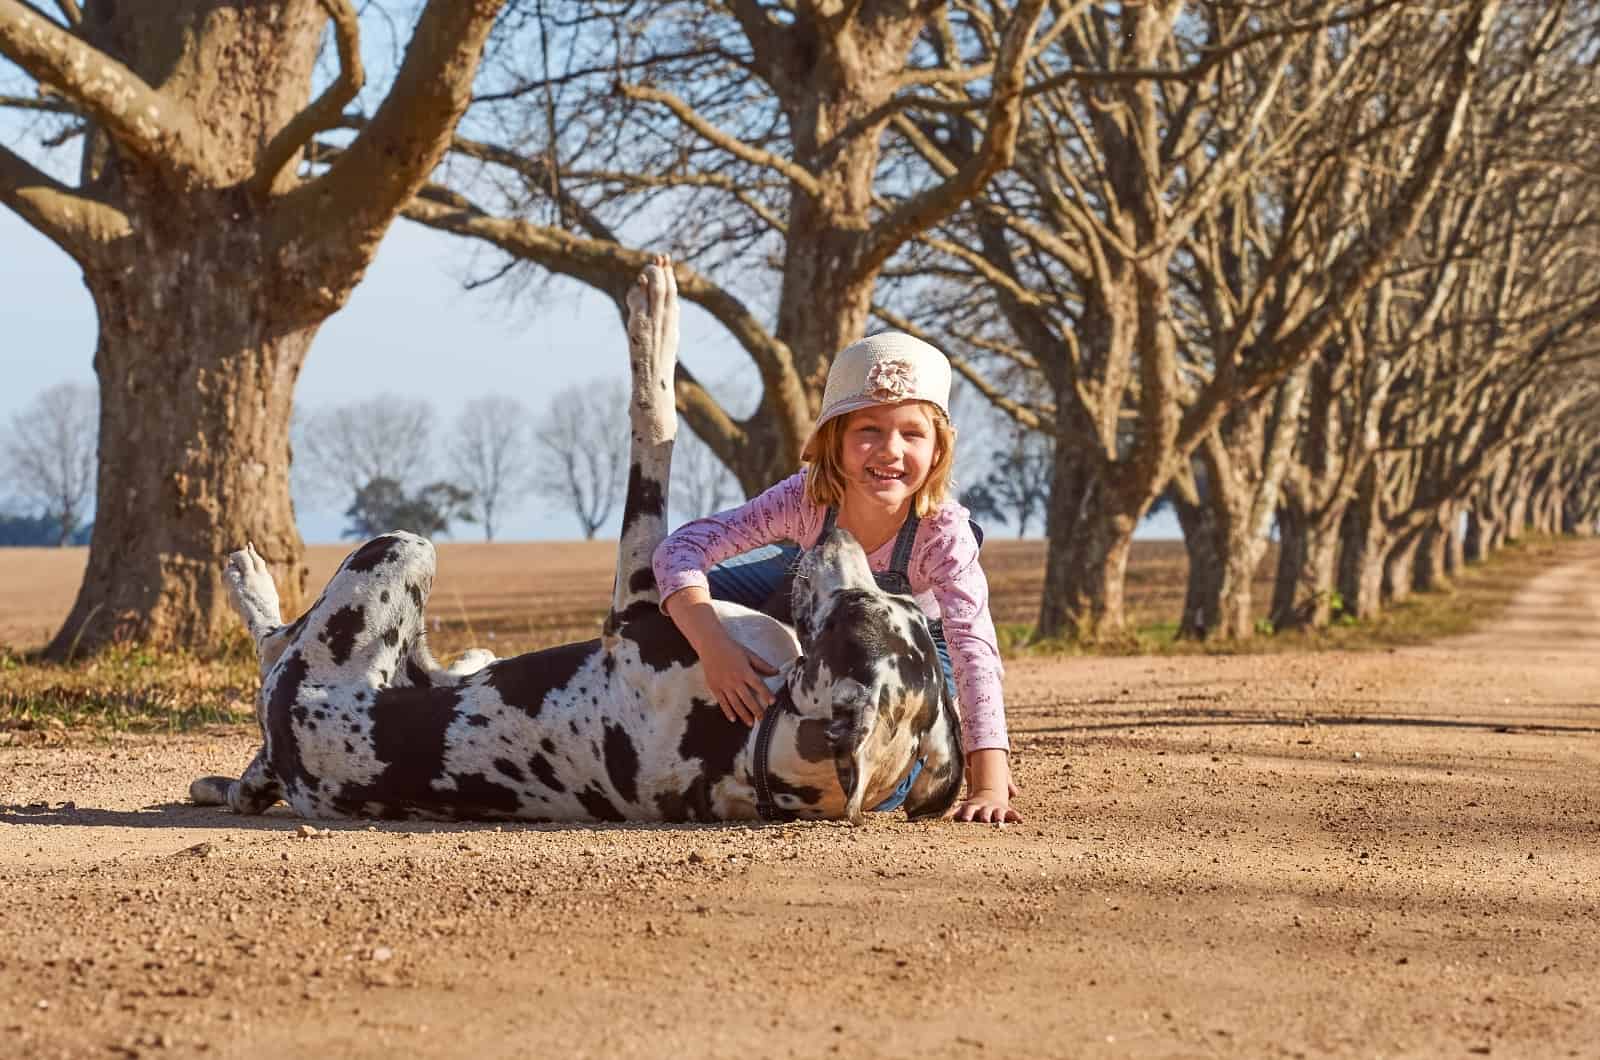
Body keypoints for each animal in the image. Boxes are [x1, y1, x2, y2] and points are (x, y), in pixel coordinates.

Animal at [190, 260, 960, 826]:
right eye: (886, 609)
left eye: (852, 611)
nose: (836, 533)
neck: (751, 747)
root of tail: (283, 756)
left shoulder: (638, 597)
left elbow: (655, 417)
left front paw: (656, 316)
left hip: (399, 549)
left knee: (273, 644)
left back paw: (247, 578)